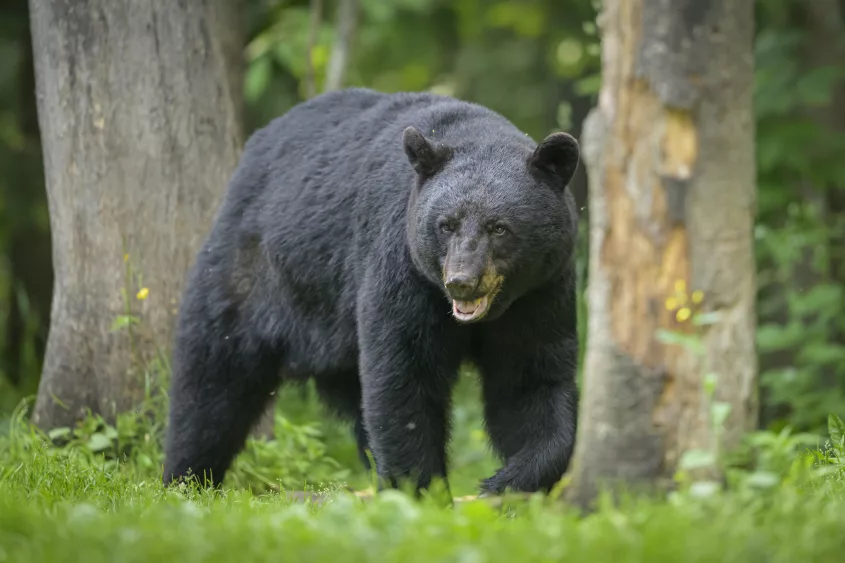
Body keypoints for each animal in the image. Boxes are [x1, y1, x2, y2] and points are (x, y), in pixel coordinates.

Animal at [161, 88, 576, 498]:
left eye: (498, 227)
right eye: (446, 224)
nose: (462, 280)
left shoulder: (539, 293)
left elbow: (530, 380)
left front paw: (508, 482)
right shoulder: (402, 266)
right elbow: (403, 374)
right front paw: (422, 490)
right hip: (251, 276)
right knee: (212, 381)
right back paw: (186, 478)